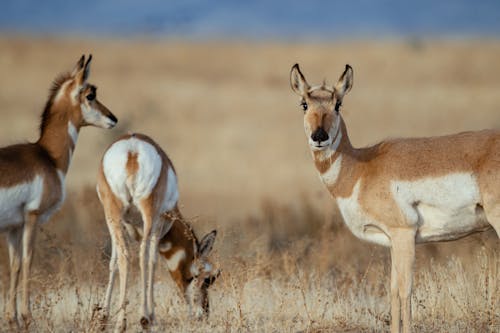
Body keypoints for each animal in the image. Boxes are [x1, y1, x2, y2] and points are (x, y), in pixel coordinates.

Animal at [0, 55, 117, 326]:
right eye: (90, 94)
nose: (113, 118)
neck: (48, 157)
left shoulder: (13, 227)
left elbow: (14, 266)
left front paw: (12, 320)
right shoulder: (32, 218)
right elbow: (28, 260)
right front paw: (27, 317)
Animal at [96, 133, 218, 332]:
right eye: (209, 278)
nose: (204, 315)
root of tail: (132, 150)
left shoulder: (121, 225)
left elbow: (113, 263)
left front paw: (102, 319)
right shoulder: (159, 224)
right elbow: (152, 260)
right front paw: (151, 316)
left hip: (112, 214)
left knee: (125, 257)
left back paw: (121, 323)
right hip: (148, 215)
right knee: (143, 257)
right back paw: (145, 319)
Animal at [290, 64, 500, 332]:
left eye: (338, 103)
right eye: (304, 103)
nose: (319, 136)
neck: (361, 169)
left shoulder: (404, 234)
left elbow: (404, 290)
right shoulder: (392, 241)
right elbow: (391, 291)